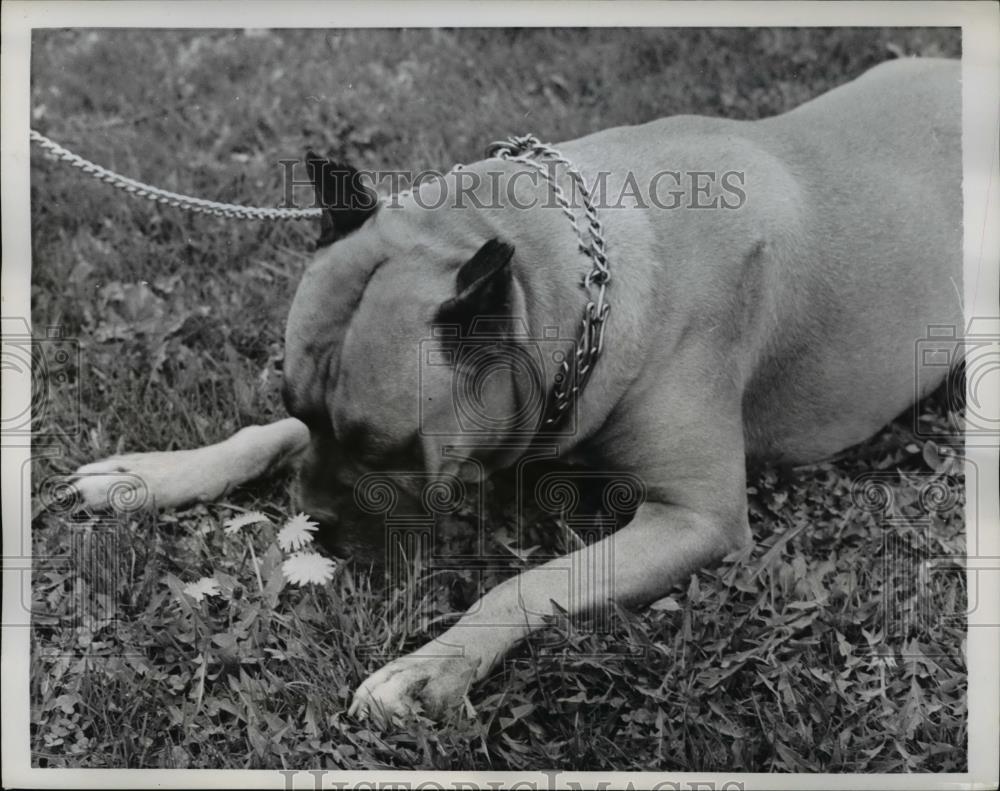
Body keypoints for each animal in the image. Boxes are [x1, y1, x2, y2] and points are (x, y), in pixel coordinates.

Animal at [70, 57, 960, 724]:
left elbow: (531, 578)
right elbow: (261, 437)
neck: (571, 275)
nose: (315, 520)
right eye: (298, 406)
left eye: (390, 449)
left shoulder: (695, 519)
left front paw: (434, 663)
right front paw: (150, 473)